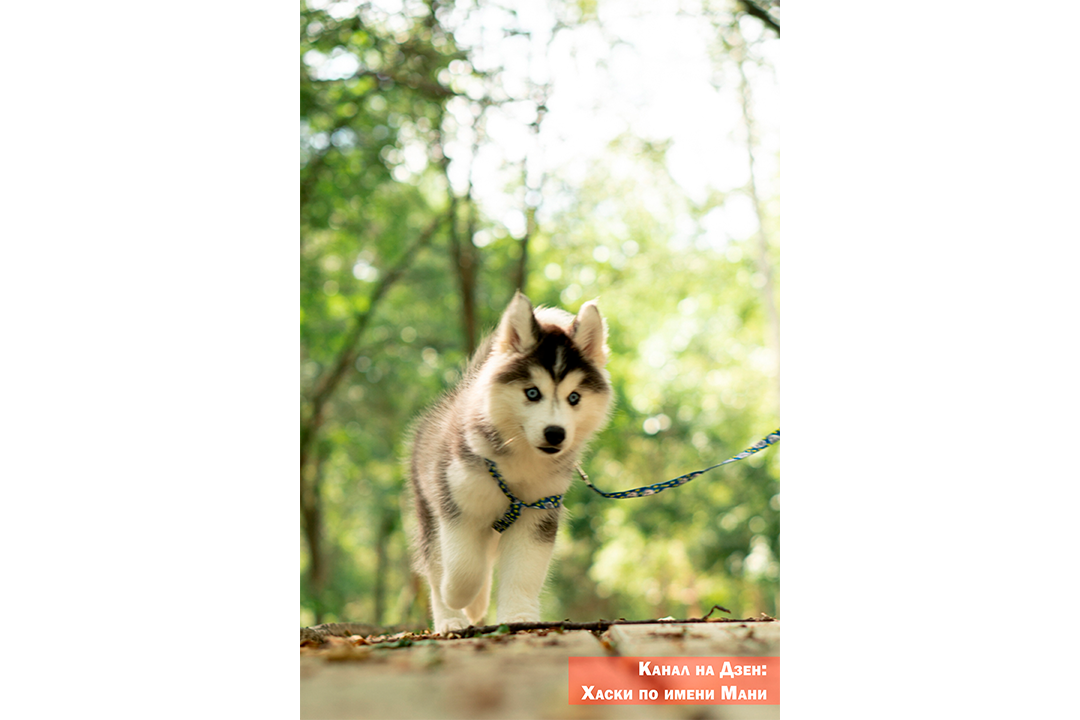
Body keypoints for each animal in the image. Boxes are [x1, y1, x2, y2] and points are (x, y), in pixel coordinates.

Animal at [406, 289, 613, 634]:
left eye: (574, 397)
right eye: (532, 393)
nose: (555, 433)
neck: (520, 459)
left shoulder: (538, 511)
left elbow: (524, 571)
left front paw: (519, 616)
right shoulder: (459, 507)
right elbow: (462, 568)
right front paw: (458, 595)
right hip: (429, 504)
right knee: (437, 565)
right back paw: (451, 618)